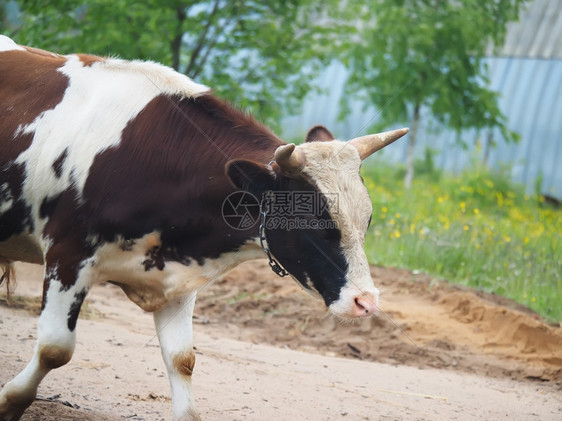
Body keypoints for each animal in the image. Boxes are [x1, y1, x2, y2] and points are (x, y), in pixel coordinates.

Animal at [0, 36, 404, 420]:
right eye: (313, 222)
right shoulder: (68, 258)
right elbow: (54, 349)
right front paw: (10, 402)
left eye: (366, 220)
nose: (367, 301)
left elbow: (182, 360)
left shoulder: (177, 282)